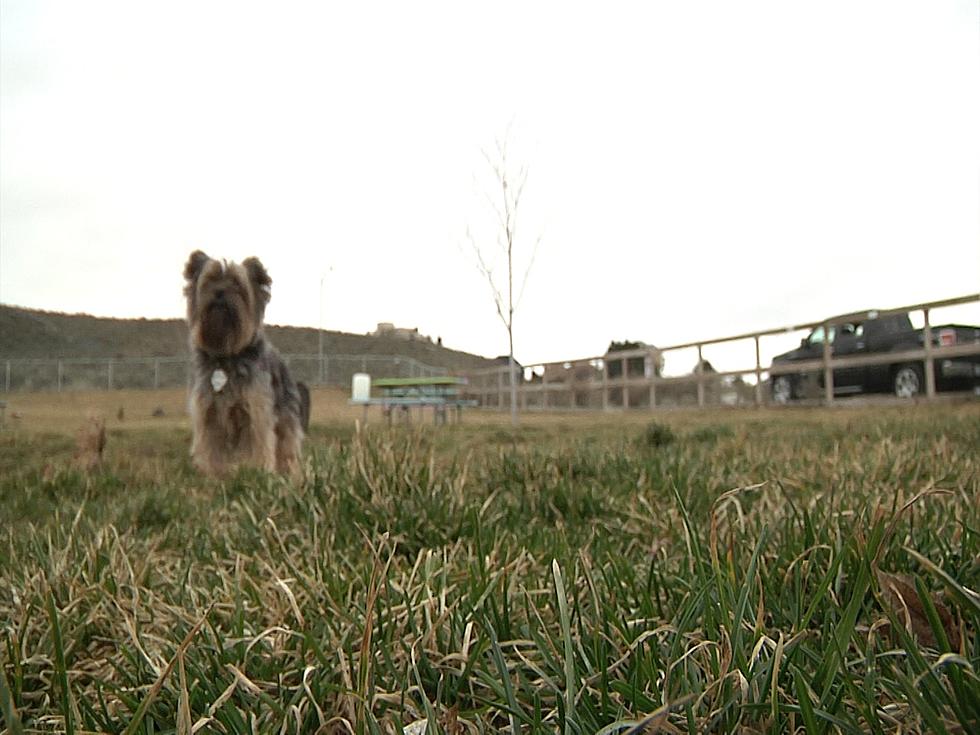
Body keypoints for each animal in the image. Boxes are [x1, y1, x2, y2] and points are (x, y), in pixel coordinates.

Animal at [182, 253, 308, 478]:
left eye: (236, 283)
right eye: (210, 280)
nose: (220, 291)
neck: (226, 355)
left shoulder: (256, 411)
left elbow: (259, 443)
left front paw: (259, 472)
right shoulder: (210, 414)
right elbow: (212, 449)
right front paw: (214, 475)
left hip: (286, 416)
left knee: (287, 447)